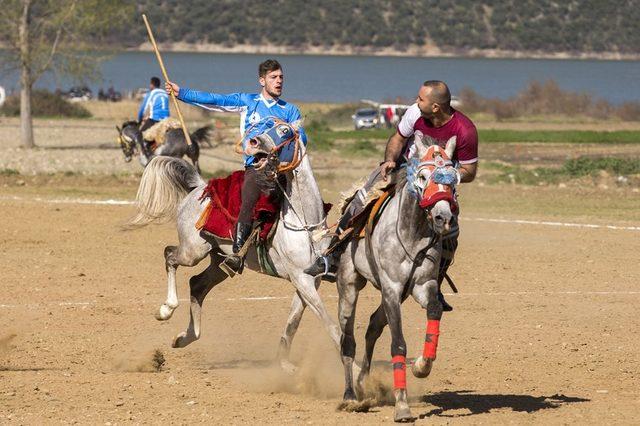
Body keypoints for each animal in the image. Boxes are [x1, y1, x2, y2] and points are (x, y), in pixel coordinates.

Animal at [127, 124, 342, 372]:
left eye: (285, 131)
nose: (256, 141)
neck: (305, 223)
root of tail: (199, 188)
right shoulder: (301, 279)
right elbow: (331, 325)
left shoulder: (309, 281)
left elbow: (293, 322)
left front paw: (285, 364)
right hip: (193, 252)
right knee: (170, 255)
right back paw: (166, 310)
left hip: (219, 260)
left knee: (197, 285)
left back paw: (184, 337)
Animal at [332, 135, 458, 422]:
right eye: (422, 176)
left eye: (453, 179)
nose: (443, 217)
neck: (411, 232)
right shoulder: (391, 287)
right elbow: (398, 344)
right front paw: (402, 407)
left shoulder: (422, 286)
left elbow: (434, 310)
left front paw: (422, 366)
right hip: (349, 285)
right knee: (348, 341)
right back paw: (350, 396)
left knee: (372, 326)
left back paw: (363, 382)